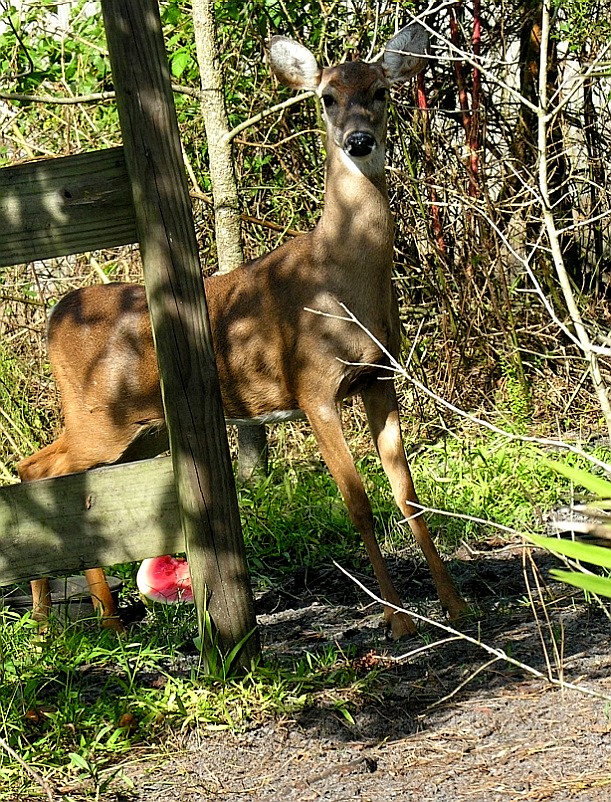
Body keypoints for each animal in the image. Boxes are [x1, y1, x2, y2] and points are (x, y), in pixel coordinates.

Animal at [18, 22, 468, 638]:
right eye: (326, 97)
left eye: (380, 91)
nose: (357, 141)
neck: (340, 280)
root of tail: (60, 309)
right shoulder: (312, 385)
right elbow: (357, 503)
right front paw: (398, 621)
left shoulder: (379, 377)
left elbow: (408, 495)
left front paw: (456, 606)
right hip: (98, 419)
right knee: (42, 468)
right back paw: (86, 616)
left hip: (140, 429)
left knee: (43, 469)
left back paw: (59, 618)